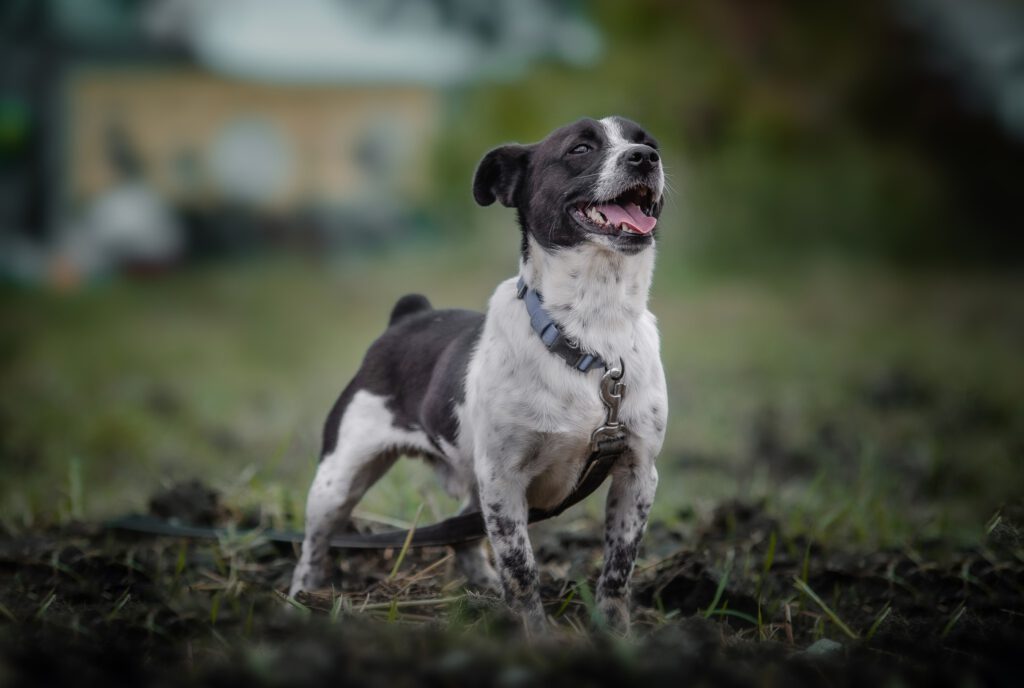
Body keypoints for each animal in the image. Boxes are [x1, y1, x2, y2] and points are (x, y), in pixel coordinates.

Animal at [292, 114, 667, 634]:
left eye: (647, 142)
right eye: (580, 148)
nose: (645, 158)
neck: (594, 334)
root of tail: (409, 315)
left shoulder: (636, 474)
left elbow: (617, 569)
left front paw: (616, 634)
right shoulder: (504, 481)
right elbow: (522, 568)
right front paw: (534, 634)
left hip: (472, 479)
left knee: (462, 534)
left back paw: (482, 587)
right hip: (339, 478)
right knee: (315, 542)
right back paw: (301, 596)